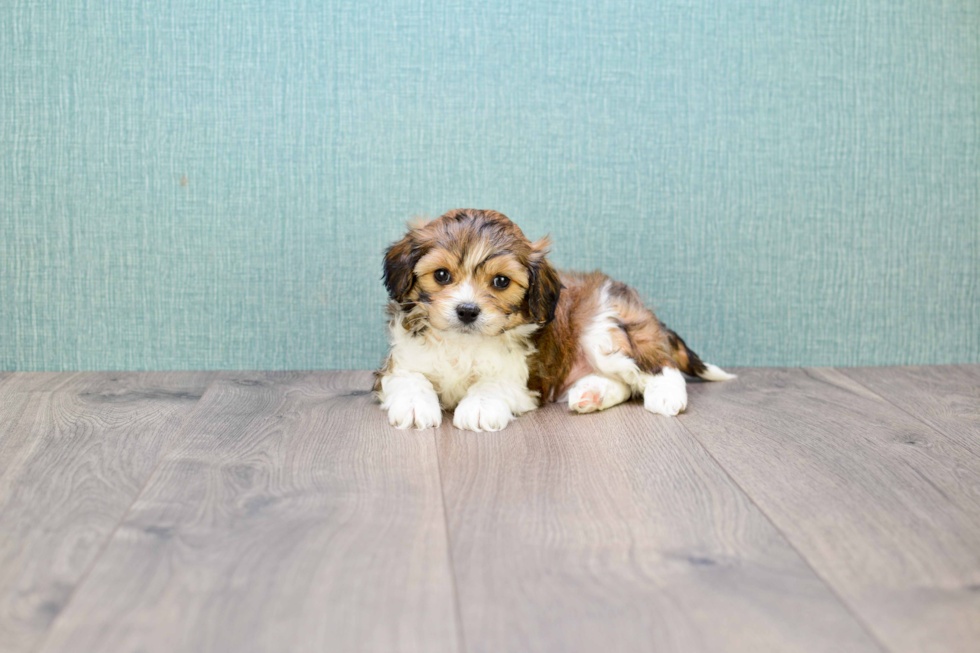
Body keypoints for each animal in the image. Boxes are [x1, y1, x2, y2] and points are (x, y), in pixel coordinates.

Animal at [376, 209, 736, 430]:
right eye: (441, 275)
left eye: (501, 282)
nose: (467, 310)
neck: (464, 343)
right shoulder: (399, 365)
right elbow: (410, 378)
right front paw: (414, 405)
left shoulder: (523, 379)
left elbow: (492, 383)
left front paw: (478, 406)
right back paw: (591, 394)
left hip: (603, 330)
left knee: (660, 366)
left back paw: (666, 396)